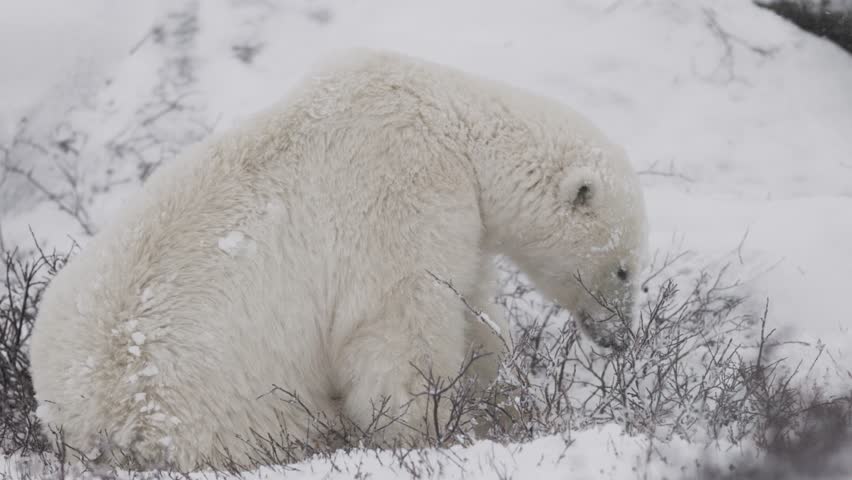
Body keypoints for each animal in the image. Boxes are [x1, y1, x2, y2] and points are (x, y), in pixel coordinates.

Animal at [29, 48, 648, 471]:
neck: (453, 125)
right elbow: (398, 331)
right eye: (625, 268)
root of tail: (100, 426)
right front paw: (426, 430)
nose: (618, 338)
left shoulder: (458, 219)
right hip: (219, 401)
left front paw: (491, 381)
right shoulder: (403, 192)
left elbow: (471, 301)